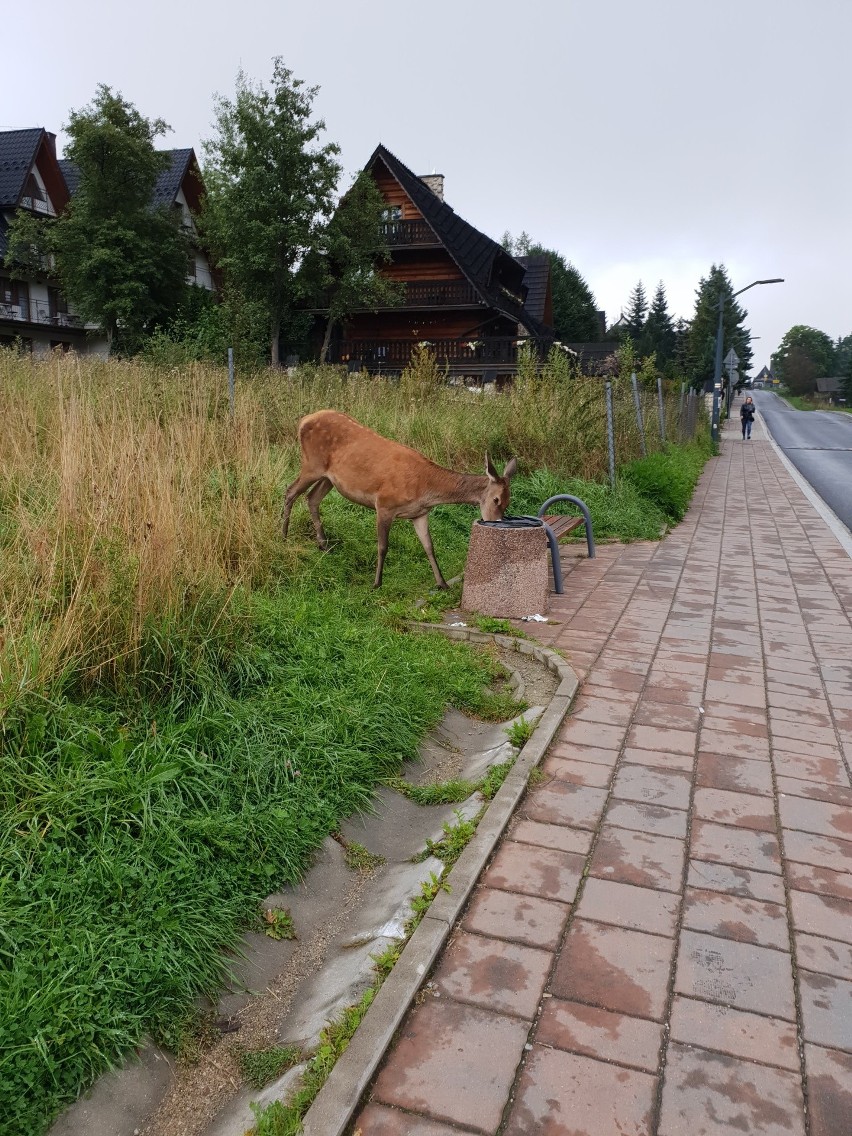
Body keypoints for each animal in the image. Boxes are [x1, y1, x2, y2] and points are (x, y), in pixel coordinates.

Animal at [284, 408, 518, 586]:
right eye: (496, 500)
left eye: (509, 502)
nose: (496, 523)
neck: (424, 488)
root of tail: (303, 420)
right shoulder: (384, 504)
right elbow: (383, 546)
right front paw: (377, 583)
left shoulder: (420, 513)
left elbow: (429, 547)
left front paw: (442, 583)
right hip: (311, 464)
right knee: (290, 491)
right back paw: (284, 536)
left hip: (329, 478)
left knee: (312, 498)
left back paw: (323, 544)